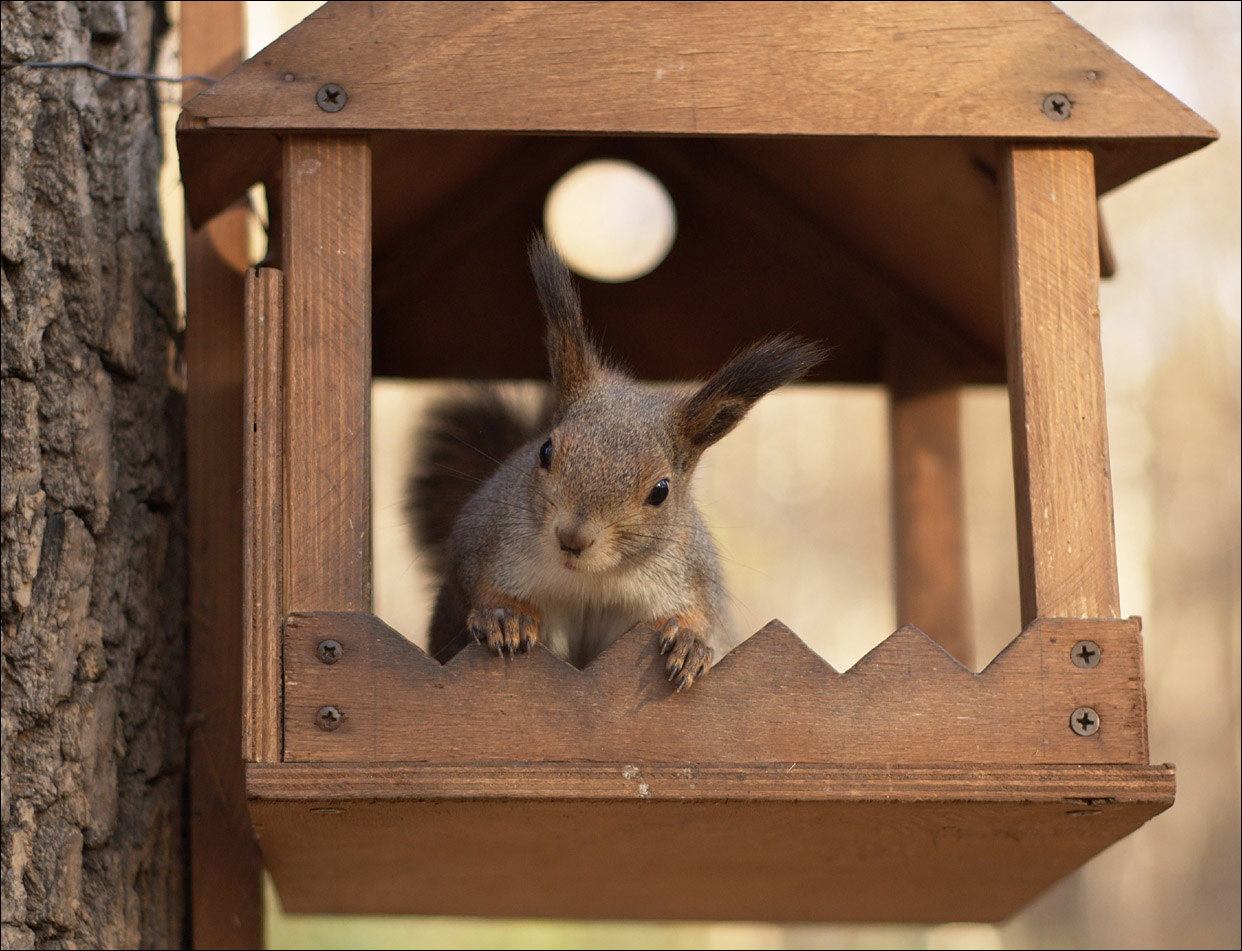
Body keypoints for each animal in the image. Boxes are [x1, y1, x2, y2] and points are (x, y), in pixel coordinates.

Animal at [404, 234, 824, 690]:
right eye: (545, 451)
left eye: (661, 490)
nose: (572, 538)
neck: (592, 579)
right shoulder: (488, 538)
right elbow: (477, 582)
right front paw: (505, 615)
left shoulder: (691, 575)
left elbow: (700, 616)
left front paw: (689, 643)